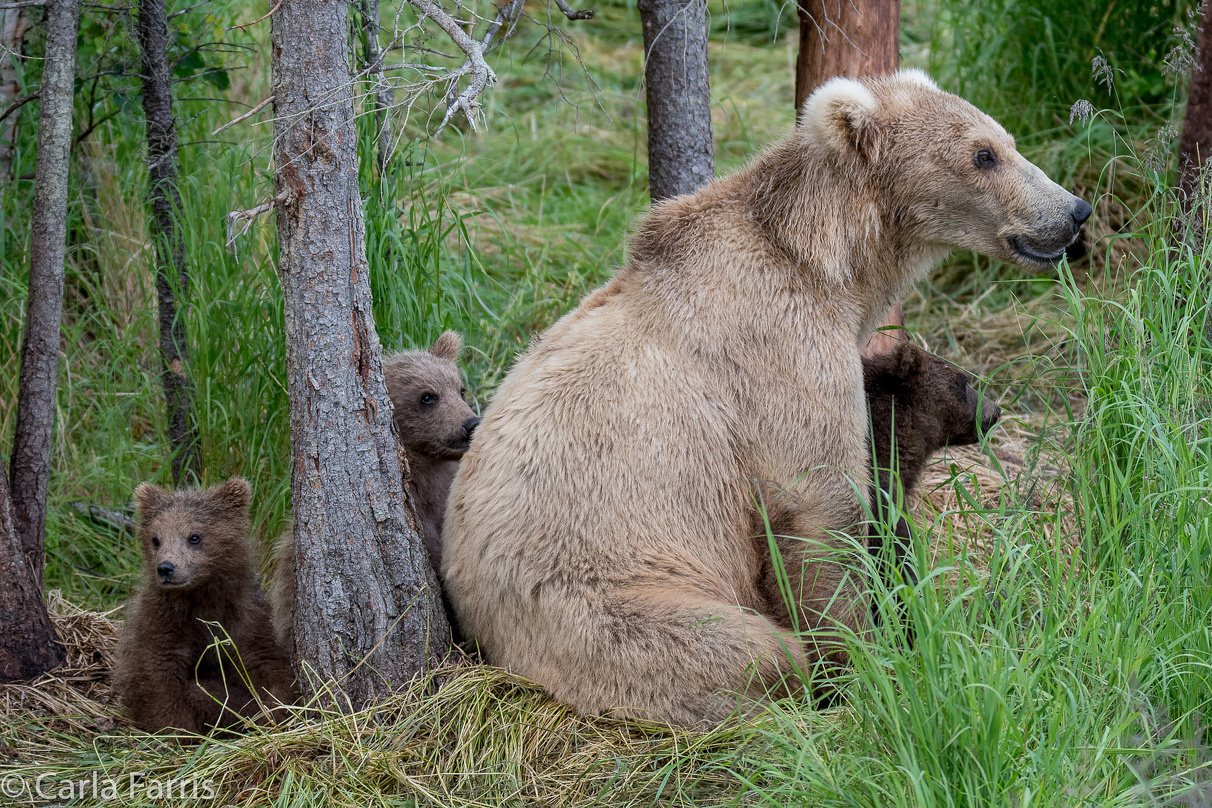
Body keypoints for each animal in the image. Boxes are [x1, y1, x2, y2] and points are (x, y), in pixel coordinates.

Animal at [438, 71, 1090, 726]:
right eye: (984, 154)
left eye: (1007, 139)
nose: (1074, 211)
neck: (828, 264)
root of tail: (480, 632)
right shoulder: (779, 352)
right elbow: (823, 505)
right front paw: (861, 661)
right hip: (607, 606)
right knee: (739, 646)